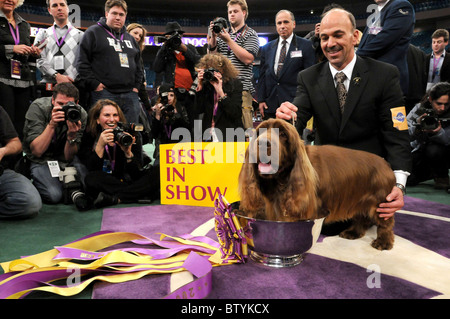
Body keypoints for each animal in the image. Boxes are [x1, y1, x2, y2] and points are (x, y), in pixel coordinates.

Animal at [237, 119, 396, 251]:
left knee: (385, 224)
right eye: (260, 132)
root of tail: (386, 163)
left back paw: (383, 242)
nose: (263, 143)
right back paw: (353, 232)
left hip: (381, 203)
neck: (281, 179)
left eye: (282, 134)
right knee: (361, 217)